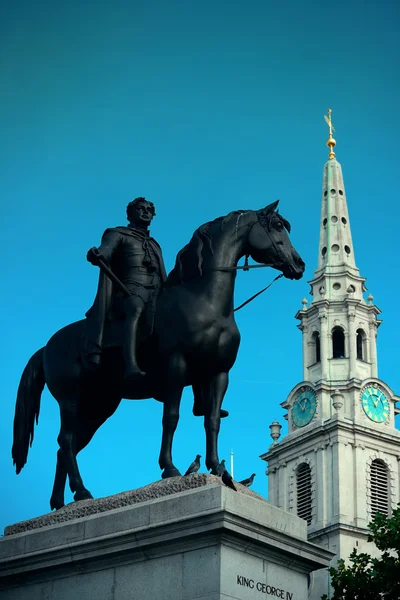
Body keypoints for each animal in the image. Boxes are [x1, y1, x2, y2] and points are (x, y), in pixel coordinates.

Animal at [13, 199, 306, 508]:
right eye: (277, 226)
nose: (299, 264)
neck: (205, 303)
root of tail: (47, 346)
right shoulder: (175, 368)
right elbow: (171, 418)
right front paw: (169, 468)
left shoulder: (218, 373)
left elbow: (212, 420)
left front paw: (216, 467)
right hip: (71, 398)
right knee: (67, 440)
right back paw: (81, 492)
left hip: (99, 405)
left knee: (66, 446)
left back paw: (61, 502)